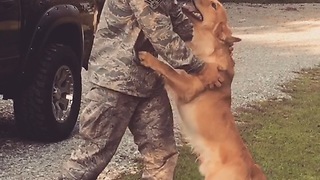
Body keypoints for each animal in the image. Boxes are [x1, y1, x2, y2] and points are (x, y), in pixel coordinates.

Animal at [139, 0, 266, 179]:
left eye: (213, 5)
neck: (208, 48)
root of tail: (252, 170)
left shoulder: (187, 88)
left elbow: (168, 68)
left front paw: (149, 58)